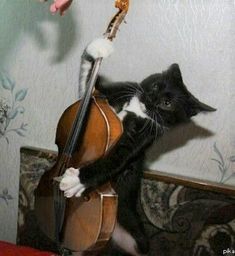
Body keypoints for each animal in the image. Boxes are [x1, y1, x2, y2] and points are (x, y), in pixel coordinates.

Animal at [58, 38, 215, 256]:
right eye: (156, 86)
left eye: (167, 103)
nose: (151, 98)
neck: (137, 108)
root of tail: (112, 233)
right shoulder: (113, 93)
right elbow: (87, 87)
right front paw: (99, 47)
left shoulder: (143, 137)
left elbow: (115, 160)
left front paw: (77, 181)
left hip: (136, 239)